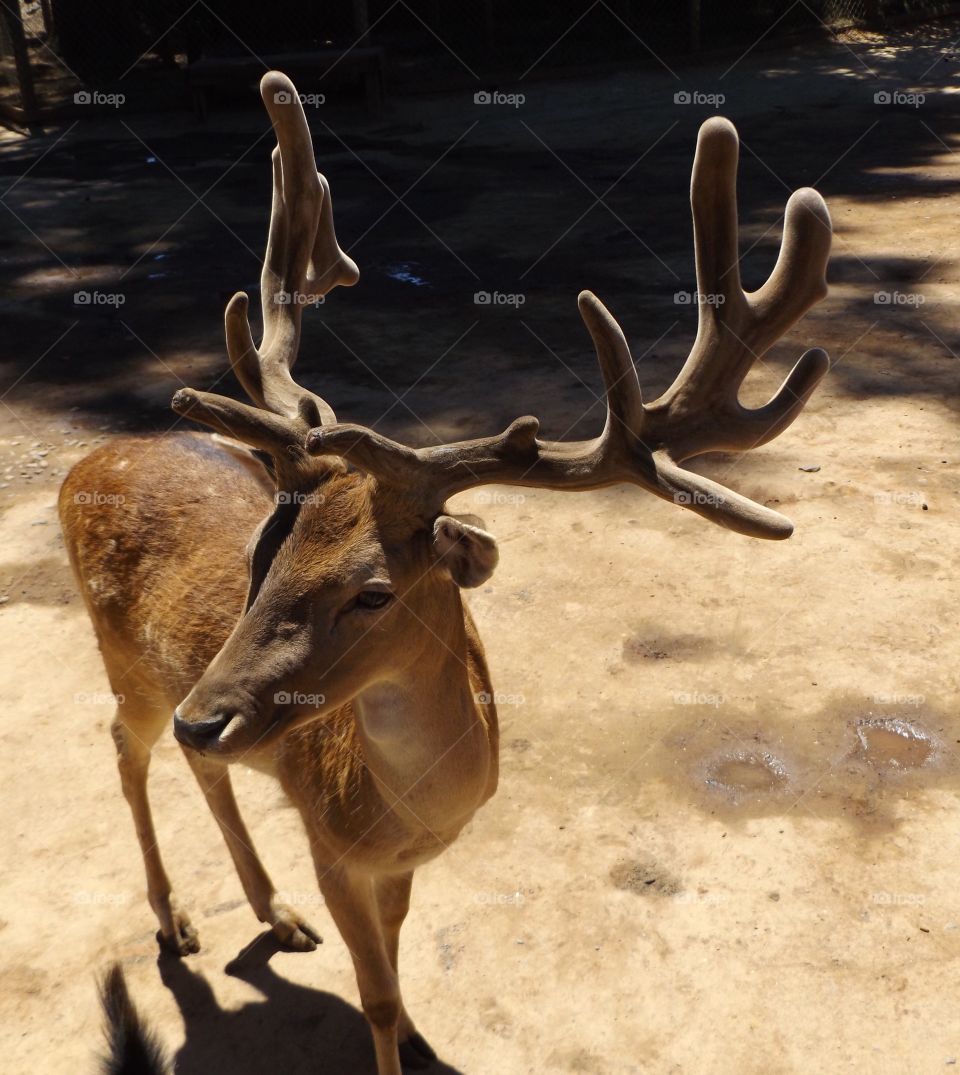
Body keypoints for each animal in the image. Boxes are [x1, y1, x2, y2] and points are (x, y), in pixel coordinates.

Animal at [60, 72, 831, 1075]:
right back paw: (174, 917)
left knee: (195, 768)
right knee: (124, 746)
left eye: (374, 590)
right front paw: (393, 1031)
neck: (409, 813)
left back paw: (272, 907)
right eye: (267, 553)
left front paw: (421, 1036)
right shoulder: (332, 843)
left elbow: (396, 966)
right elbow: (378, 995)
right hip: (128, 661)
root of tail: (81, 466)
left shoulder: (399, 866)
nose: (207, 714)